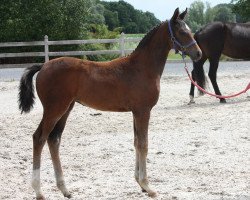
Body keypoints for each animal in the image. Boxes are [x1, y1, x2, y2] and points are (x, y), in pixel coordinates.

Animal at [18, 8, 202, 199]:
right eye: (182, 32)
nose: (198, 54)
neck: (142, 68)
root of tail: (43, 66)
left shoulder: (136, 112)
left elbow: (136, 142)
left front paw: (140, 183)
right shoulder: (143, 111)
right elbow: (143, 144)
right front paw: (147, 186)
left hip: (66, 108)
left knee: (53, 139)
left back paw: (64, 189)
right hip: (54, 109)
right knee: (39, 138)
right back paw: (39, 191)